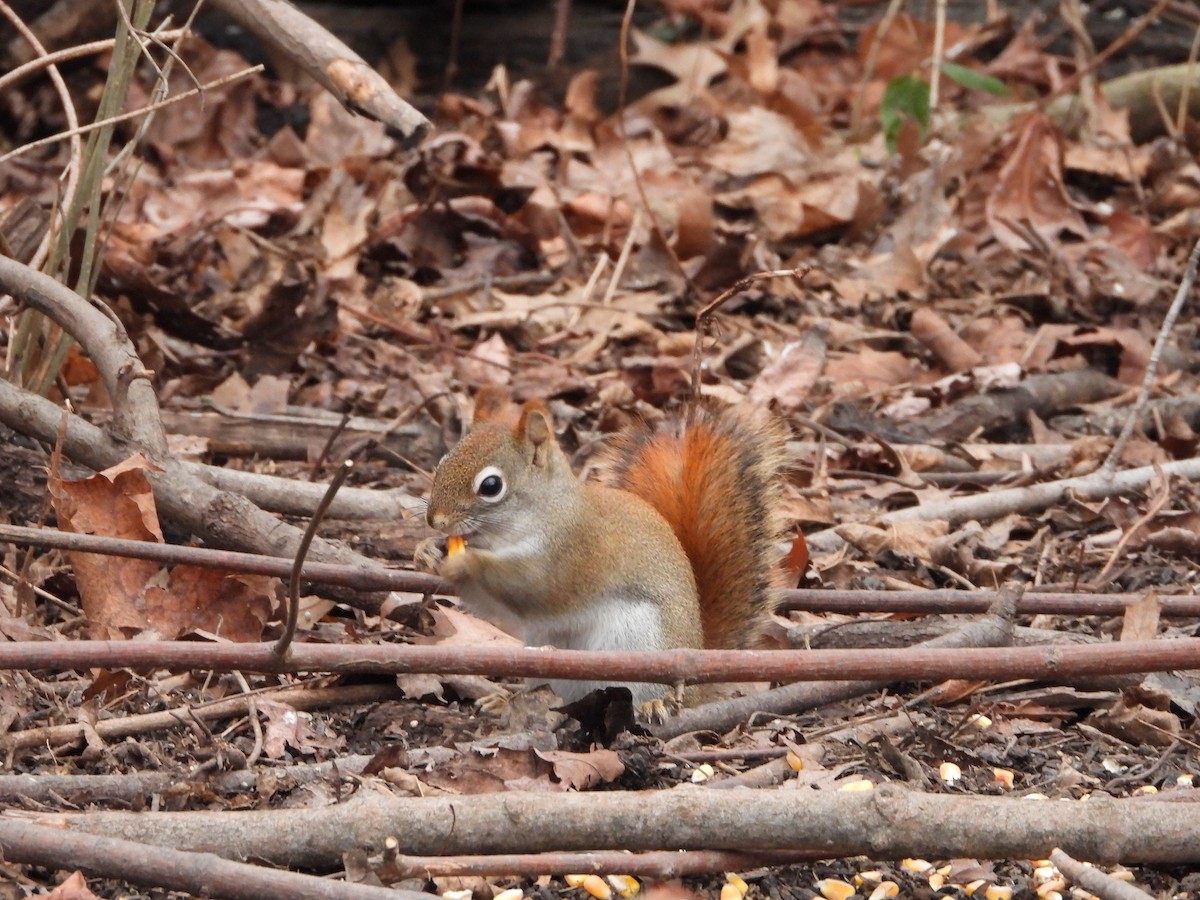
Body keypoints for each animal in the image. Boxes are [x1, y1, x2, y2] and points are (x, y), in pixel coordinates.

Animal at [415, 390, 788, 708]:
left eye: (491, 486)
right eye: (442, 462)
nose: (435, 520)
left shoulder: (575, 555)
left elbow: (530, 586)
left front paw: (465, 565)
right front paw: (426, 551)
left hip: (641, 646)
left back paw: (655, 705)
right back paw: (508, 698)